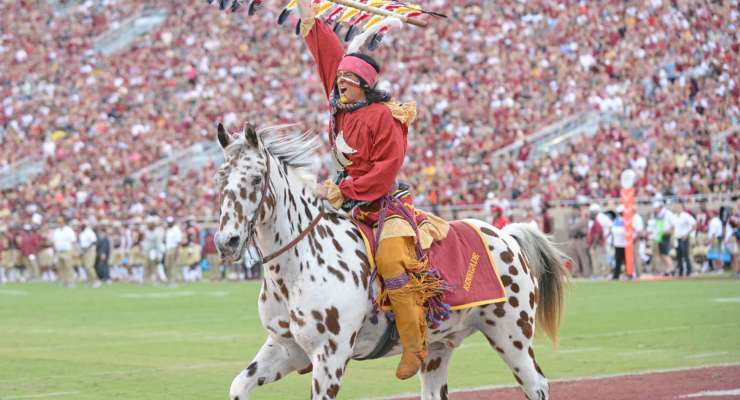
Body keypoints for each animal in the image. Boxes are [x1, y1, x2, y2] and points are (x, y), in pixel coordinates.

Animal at [213, 122, 569, 400]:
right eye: (220, 179)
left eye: (256, 179)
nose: (225, 242)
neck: (298, 268)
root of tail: (506, 235)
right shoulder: (286, 347)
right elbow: (238, 386)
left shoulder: (330, 356)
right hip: (438, 350)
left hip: (512, 339)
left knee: (538, 386)